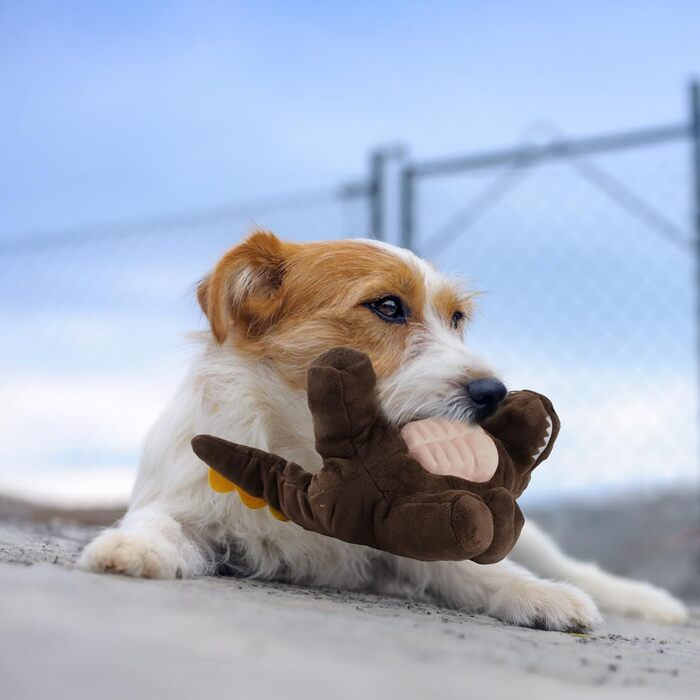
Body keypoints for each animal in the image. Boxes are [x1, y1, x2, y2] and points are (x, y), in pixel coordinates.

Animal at [76, 230, 684, 628]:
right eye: (388, 306)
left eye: (456, 319)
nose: (494, 394)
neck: (312, 458)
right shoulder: (185, 499)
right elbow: (161, 524)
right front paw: (130, 546)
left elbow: (479, 570)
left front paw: (541, 597)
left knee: (560, 559)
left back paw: (641, 599)